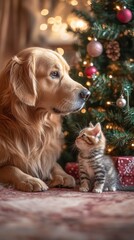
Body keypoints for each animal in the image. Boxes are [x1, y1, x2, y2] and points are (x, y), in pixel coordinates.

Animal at [0, 47, 90, 192]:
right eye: (54, 74)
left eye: (68, 73)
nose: (87, 94)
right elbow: (11, 168)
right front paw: (29, 180)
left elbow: (54, 164)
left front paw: (63, 175)